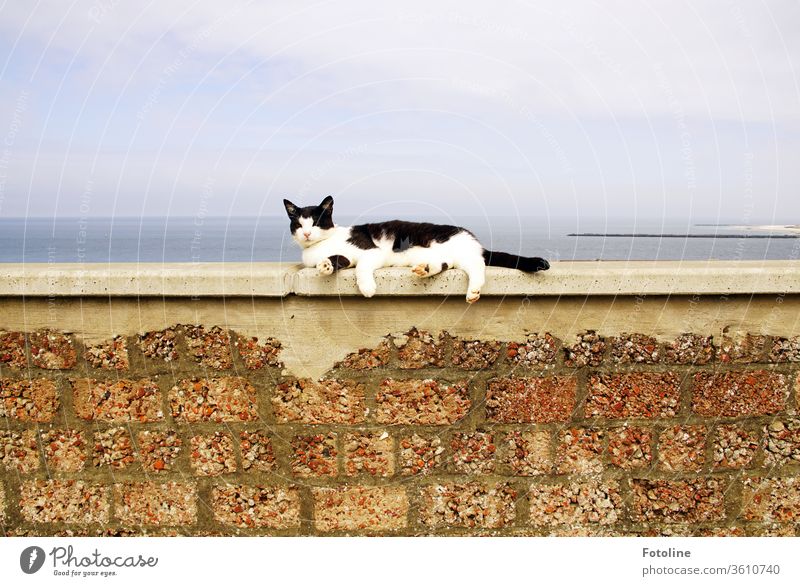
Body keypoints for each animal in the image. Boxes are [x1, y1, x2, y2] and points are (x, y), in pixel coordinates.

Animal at [284, 195, 552, 304]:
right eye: (299, 224)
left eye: (316, 223)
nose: (306, 233)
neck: (321, 245)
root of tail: (474, 241)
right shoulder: (344, 256)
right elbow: (340, 260)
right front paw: (326, 265)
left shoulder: (372, 251)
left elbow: (362, 266)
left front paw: (367, 287)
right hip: (446, 257)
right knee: (444, 264)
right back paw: (425, 269)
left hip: (458, 250)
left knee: (478, 266)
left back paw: (473, 291)